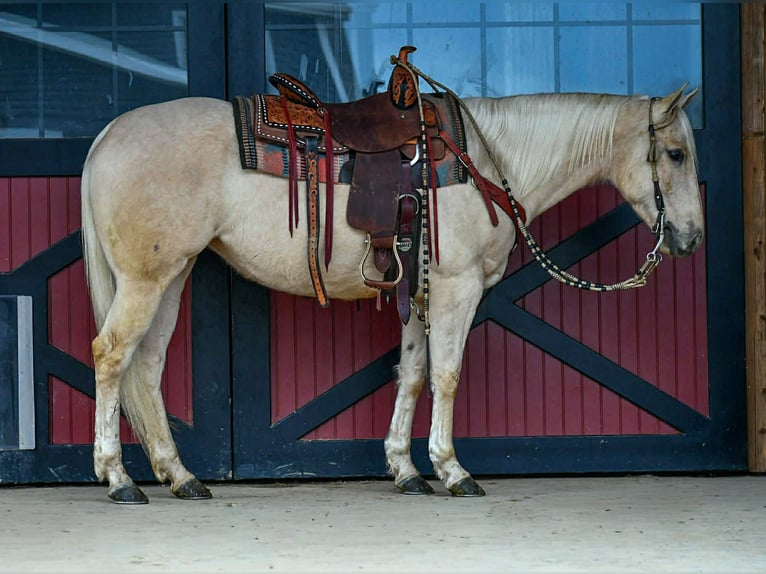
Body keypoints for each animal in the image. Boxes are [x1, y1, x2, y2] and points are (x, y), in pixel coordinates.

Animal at [80, 80, 702, 504]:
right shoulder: (456, 289)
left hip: (172, 275)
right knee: (111, 356)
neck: (486, 159)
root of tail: (108, 135)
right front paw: (452, 470)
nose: (691, 237)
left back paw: (180, 476)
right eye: (675, 154)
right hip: (146, 280)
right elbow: (447, 374)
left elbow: (414, 373)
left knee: (146, 367)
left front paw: (405, 469)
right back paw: (118, 478)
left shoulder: (418, 293)